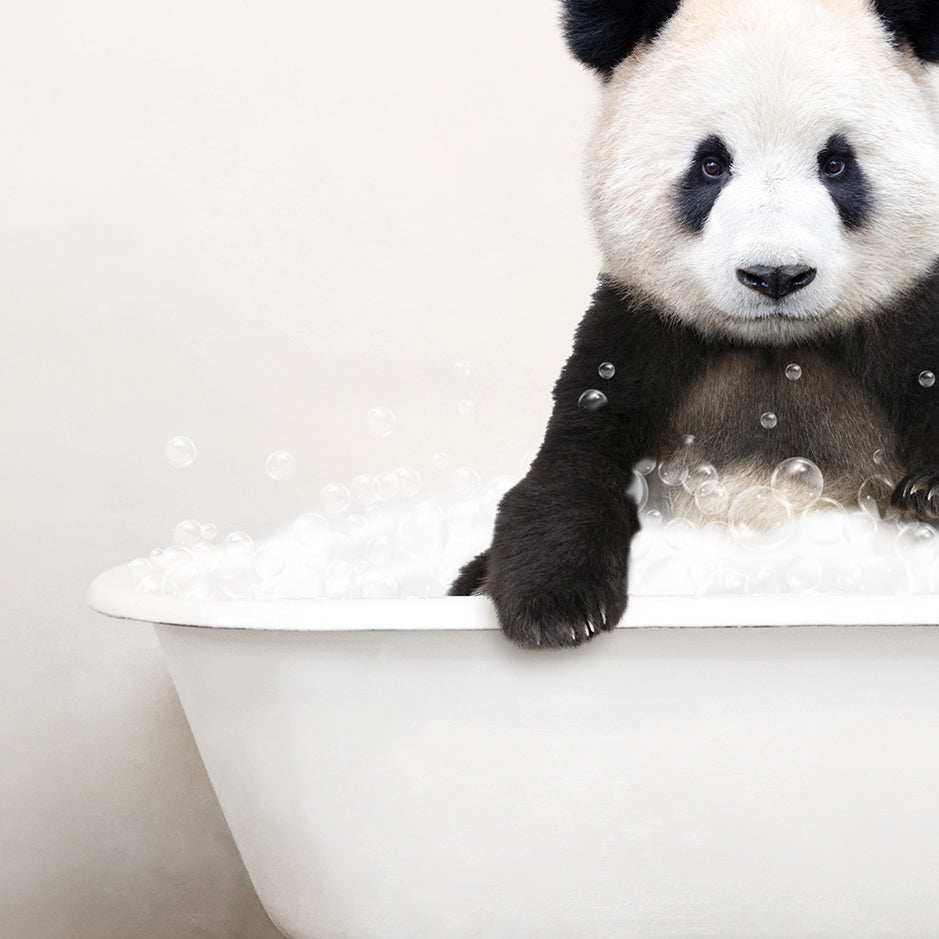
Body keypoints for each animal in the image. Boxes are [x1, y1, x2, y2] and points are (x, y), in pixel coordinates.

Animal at [448, 0, 939, 648]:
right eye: (711, 164)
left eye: (835, 163)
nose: (775, 275)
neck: (777, 349)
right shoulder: (638, 334)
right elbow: (572, 466)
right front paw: (558, 609)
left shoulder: (907, 317)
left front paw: (928, 493)